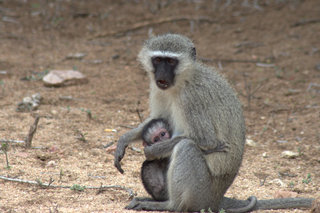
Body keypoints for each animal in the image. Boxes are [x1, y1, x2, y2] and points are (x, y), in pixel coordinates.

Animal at [114, 34, 314, 212]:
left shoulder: (192, 98)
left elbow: (206, 141)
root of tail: (218, 198)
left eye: (170, 62)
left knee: (186, 147)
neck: (181, 82)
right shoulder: (158, 89)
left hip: (201, 192)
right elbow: (156, 119)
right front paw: (124, 139)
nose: (161, 75)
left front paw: (151, 150)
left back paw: (170, 205)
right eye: (157, 60)